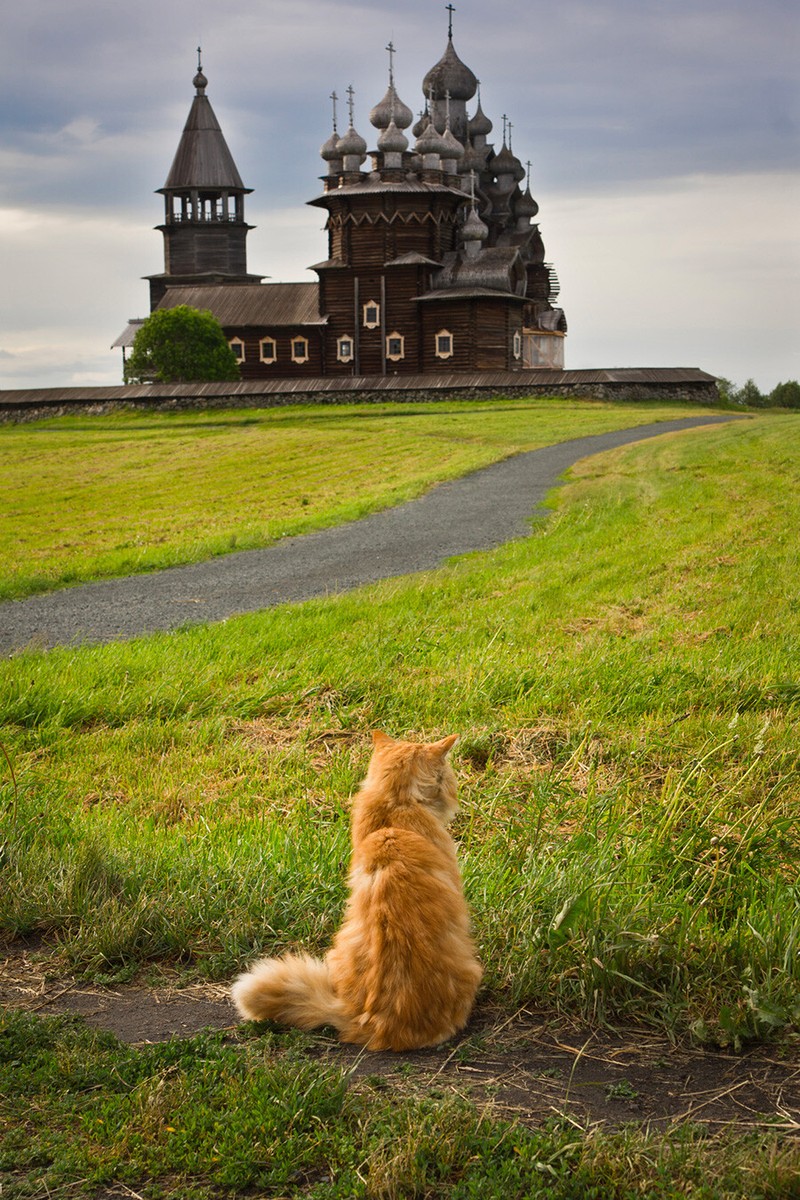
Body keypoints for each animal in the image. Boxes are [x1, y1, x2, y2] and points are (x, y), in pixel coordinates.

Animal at [231, 724, 482, 1046]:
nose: (454, 793)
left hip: (337, 947)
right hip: (470, 968)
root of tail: (372, 1023)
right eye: (449, 779)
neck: (395, 807)